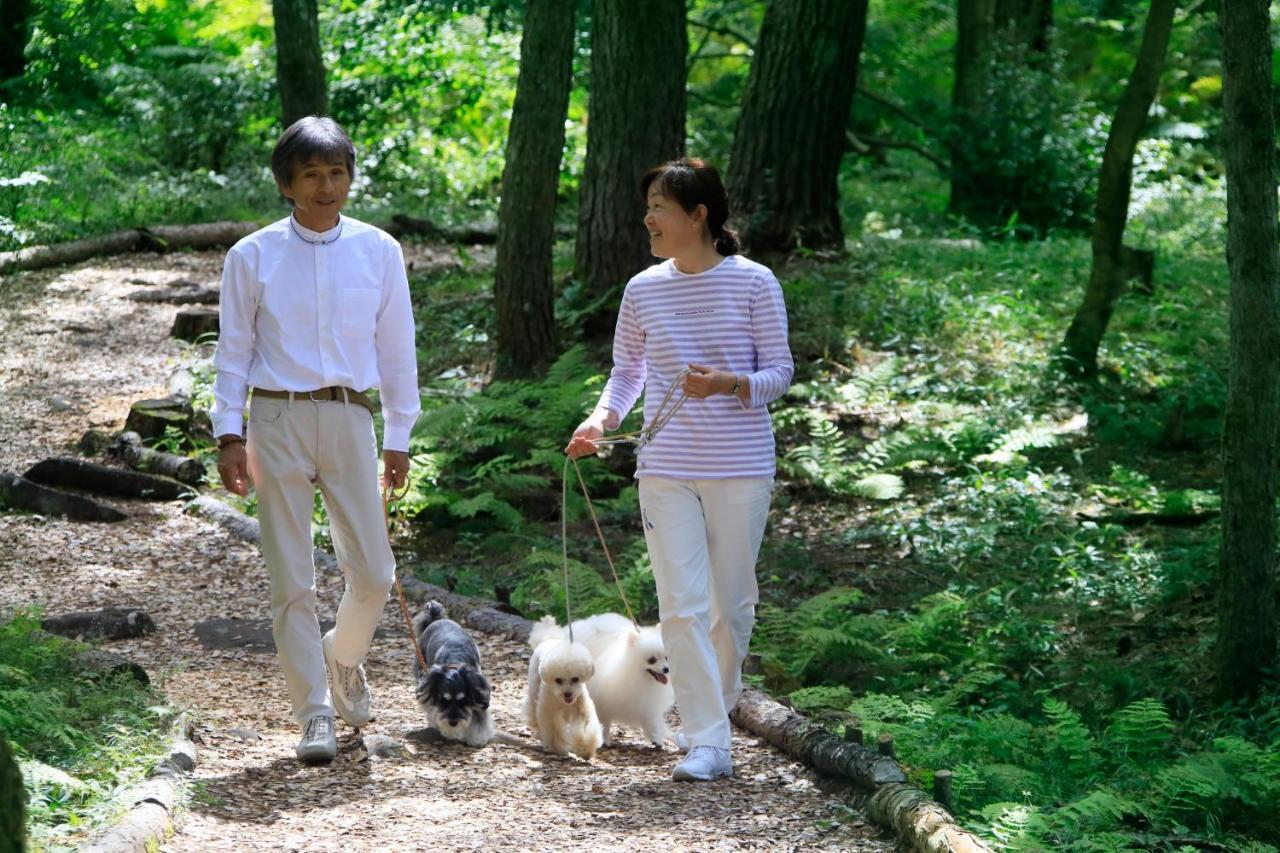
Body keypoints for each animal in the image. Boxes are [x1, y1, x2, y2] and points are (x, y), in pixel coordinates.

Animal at [565, 612, 675, 742]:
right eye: (652, 660)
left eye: (666, 658)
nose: (666, 669)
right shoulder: (604, 702)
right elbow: (605, 722)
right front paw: (605, 739)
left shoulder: (646, 703)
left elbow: (650, 721)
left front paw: (656, 739)